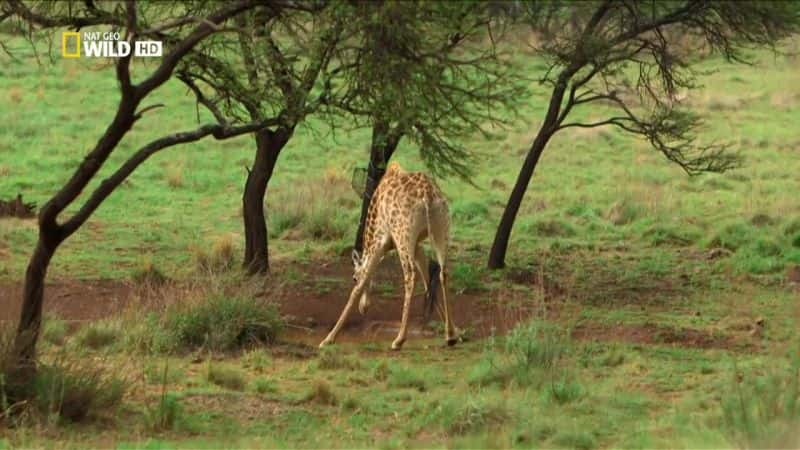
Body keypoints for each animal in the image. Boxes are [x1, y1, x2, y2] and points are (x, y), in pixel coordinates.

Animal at [318, 163, 456, 350]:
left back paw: (399, 340)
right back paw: (450, 336)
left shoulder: (379, 241)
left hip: (403, 234)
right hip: (441, 228)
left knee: (410, 275)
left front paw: (328, 339)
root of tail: (427, 196)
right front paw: (455, 331)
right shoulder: (417, 244)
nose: (363, 308)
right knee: (443, 272)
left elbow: (358, 288)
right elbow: (427, 278)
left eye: (353, 277)